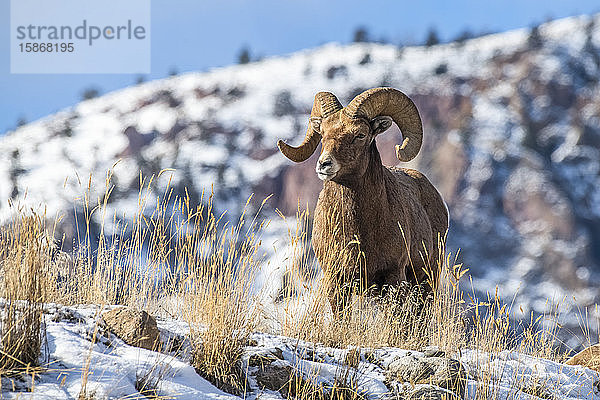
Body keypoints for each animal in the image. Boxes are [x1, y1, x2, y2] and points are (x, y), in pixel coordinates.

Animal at [278, 87, 448, 316]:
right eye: (322, 133)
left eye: (360, 134)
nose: (324, 164)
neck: (358, 230)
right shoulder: (336, 283)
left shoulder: (393, 279)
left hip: (427, 280)